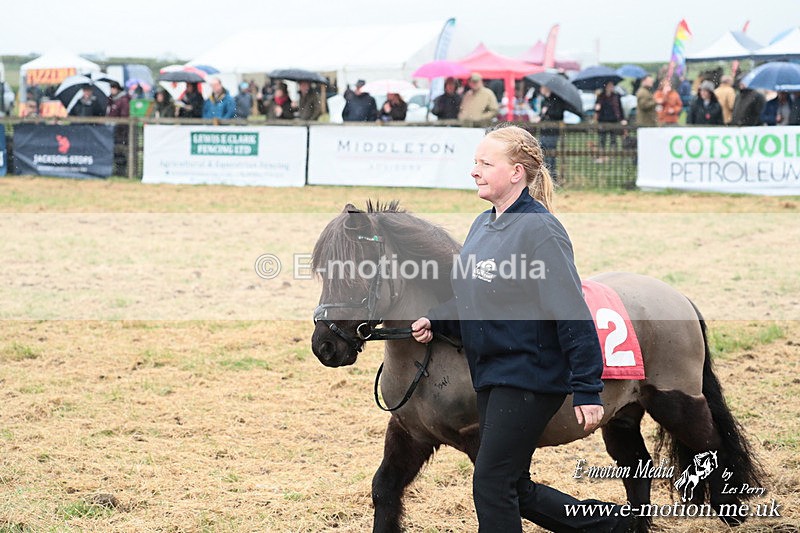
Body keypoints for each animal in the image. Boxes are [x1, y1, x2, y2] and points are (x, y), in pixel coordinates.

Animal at [310, 201, 762, 533]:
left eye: (359, 270)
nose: (325, 346)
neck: (437, 351)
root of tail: (678, 297)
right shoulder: (410, 433)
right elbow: (385, 489)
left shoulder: (484, 440)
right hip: (620, 415)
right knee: (637, 471)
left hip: (677, 402)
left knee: (712, 448)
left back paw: (732, 511)